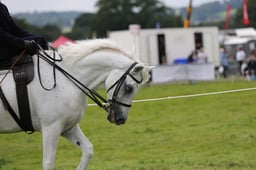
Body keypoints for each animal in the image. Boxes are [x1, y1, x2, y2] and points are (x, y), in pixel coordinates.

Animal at [0, 39, 152, 169]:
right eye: (129, 88)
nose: (120, 119)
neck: (65, 79)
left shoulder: (68, 127)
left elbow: (88, 150)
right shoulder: (51, 128)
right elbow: (48, 162)